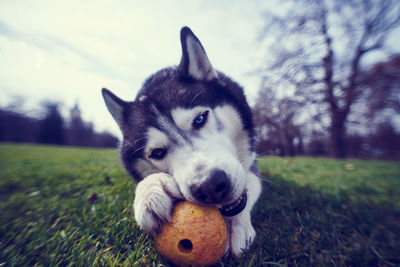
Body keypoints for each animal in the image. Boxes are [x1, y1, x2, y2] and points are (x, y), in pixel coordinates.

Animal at [101, 26, 260, 258]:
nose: (210, 186)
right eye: (157, 153)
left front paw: (235, 224)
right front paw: (150, 191)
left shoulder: (251, 163)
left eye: (200, 119)